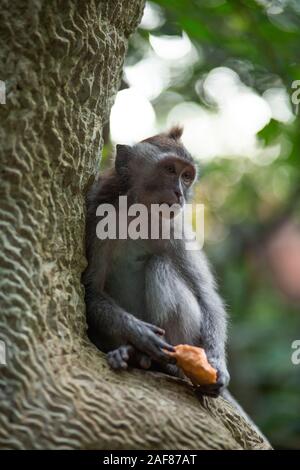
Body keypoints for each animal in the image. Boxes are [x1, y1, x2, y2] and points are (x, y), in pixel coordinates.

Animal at [82, 126, 230, 398]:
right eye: (170, 170)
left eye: (186, 176)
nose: (179, 193)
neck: (139, 214)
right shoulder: (97, 212)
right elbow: (91, 289)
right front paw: (138, 332)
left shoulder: (176, 229)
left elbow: (206, 295)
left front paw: (217, 364)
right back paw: (130, 353)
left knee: (160, 265)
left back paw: (164, 364)